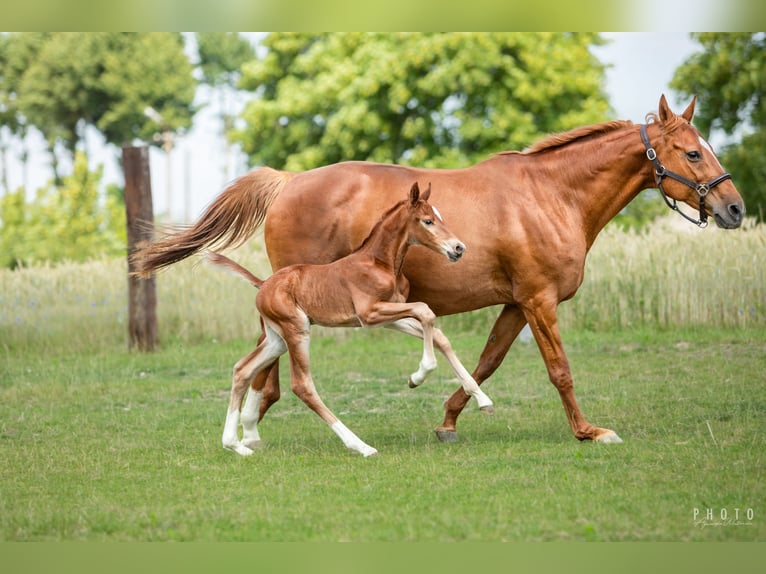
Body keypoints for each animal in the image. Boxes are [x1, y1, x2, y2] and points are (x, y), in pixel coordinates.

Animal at [210, 184, 492, 460]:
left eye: (439, 217)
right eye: (428, 221)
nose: (458, 248)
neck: (380, 263)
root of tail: (264, 284)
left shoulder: (386, 317)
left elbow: (438, 334)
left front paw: (482, 398)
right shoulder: (370, 313)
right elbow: (426, 311)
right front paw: (419, 375)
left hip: (276, 339)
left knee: (242, 369)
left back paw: (235, 445)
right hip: (296, 330)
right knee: (302, 385)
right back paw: (360, 446)